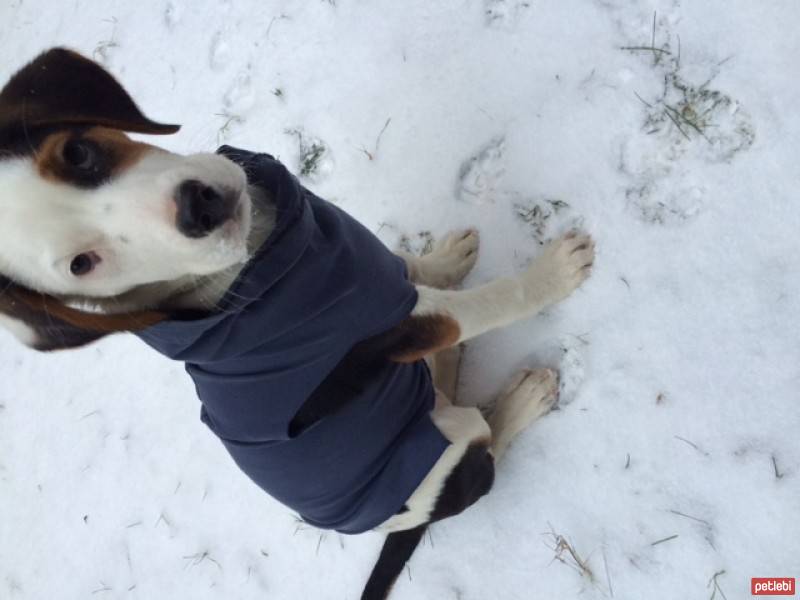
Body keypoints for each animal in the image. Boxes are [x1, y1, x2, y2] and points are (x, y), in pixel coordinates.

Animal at [0, 48, 592, 600]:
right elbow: (495, 301)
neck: (256, 265)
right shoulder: (392, 324)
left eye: (77, 153)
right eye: (82, 265)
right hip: (455, 441)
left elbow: (411, 267)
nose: (199, 209)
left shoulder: (372, 272)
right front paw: (555, 275)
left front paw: (447, 259)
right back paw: (525, 396)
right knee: (489, 444)